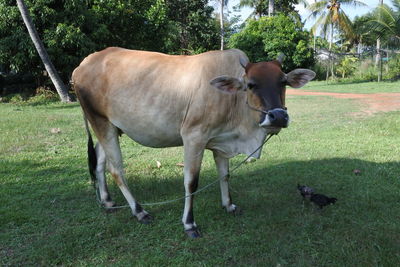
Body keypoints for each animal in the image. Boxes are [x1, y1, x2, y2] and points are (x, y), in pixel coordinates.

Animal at [72, 47, 316, 238]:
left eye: (283, 82)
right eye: (251, 84)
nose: (278, 117)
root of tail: (83, 64)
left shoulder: (221, 143)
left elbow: (225, 175)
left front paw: (229, 205)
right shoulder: (193, 137)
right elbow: (191, 182)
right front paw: (189, 224)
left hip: (112, 126)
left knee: (99, 162)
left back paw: (108, 201)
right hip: (100, 122)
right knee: (116, 169)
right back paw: (139, 211)